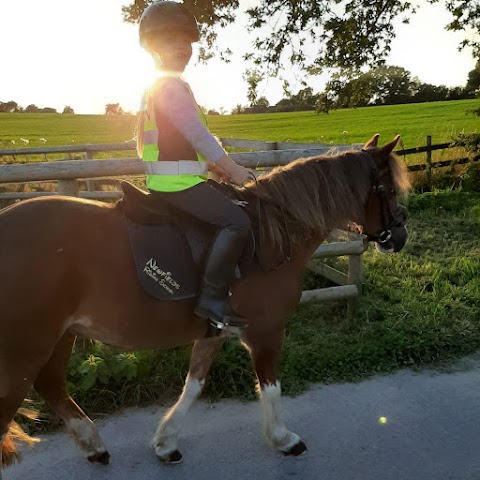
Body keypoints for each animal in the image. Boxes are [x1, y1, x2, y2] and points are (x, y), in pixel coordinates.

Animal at [1, 133, 410, 474]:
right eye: (388, 188)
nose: (401, 236)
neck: (271, 234)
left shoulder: (214, 330)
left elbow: (194, 384)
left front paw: (166, 442)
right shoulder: (266, 331)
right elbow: (271, 386)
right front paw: (283, 439)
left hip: (59, 336)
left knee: (51, 385)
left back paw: (94, 445)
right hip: (26, 349)